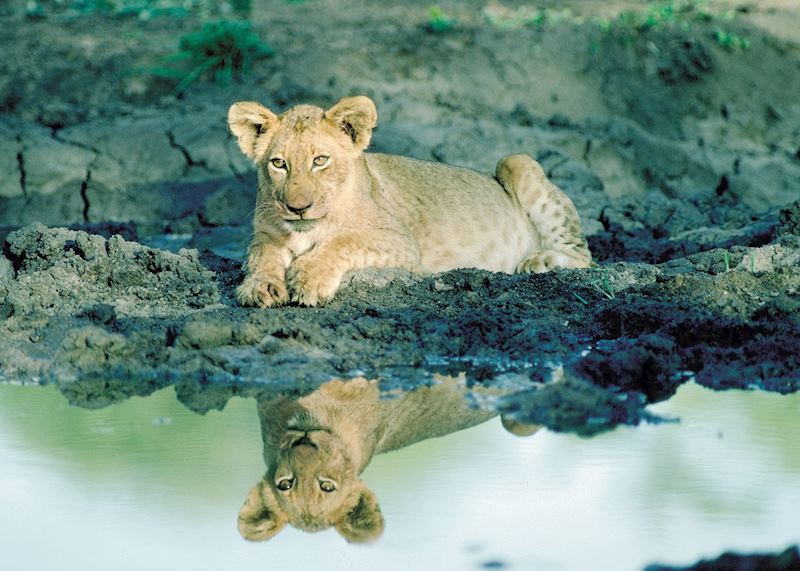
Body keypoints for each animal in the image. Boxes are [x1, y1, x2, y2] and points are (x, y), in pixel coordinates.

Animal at [228, 95, 592, 307]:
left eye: (320, 161)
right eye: (279, 164)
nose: (298, 208)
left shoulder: (401, 243)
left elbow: (342, 242)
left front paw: (308, 278)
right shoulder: (264, 236)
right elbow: (261, 256)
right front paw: (261, 286)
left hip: (517, 161)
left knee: (586, 257)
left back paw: (539, 261)